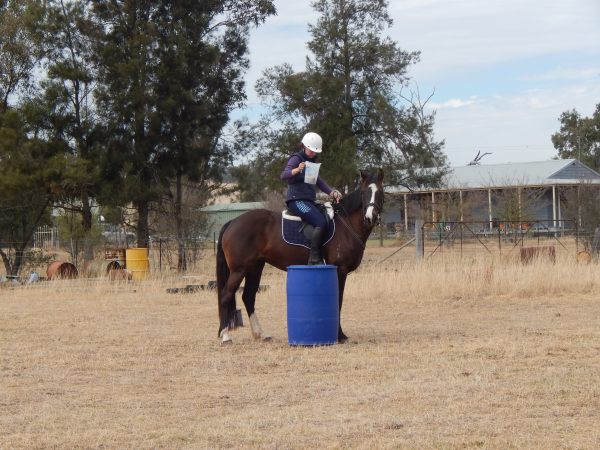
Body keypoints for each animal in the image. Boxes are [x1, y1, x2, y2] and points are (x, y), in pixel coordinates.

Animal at [215, 169, 384, 344]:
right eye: (364, 193)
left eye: (380, 193)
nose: (370, 218)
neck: (346, 224)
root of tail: (233, 222)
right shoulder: (340, 270)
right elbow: (338, 301)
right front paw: (340, 335)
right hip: (239, 270)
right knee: (226, 296)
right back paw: (225, 335)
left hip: (255, 268)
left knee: (248, 296)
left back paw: (260, 334)